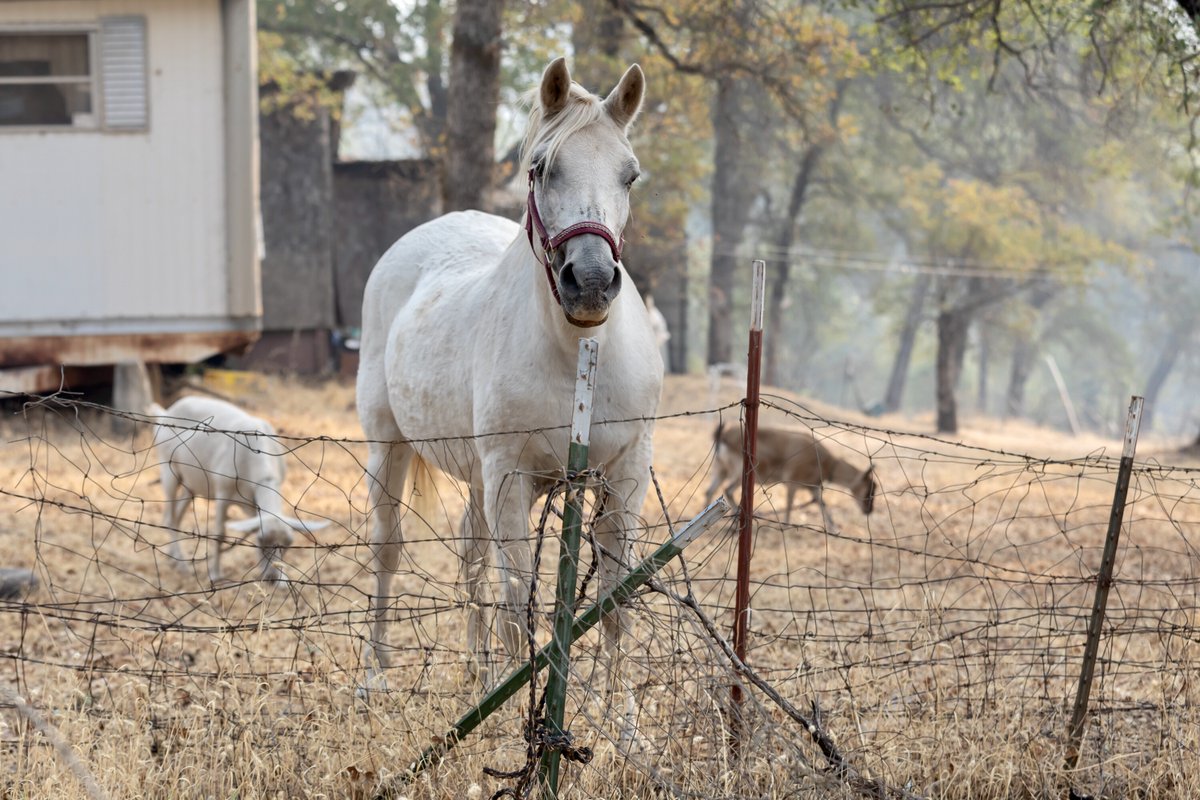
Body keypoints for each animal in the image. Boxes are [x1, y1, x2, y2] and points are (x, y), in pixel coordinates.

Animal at [356, 57, 663, 692]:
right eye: (541, 167)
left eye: (630, 176)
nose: (590, 282)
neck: (577, 355)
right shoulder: (509, 478)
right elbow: (518, 604)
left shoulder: (624, 474)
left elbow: (616, 603)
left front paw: (621, 715)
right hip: (389, 447)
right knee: (387, 549)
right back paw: (376, 672)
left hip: (474, 475)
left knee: (470, 552)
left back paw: (477, 670)